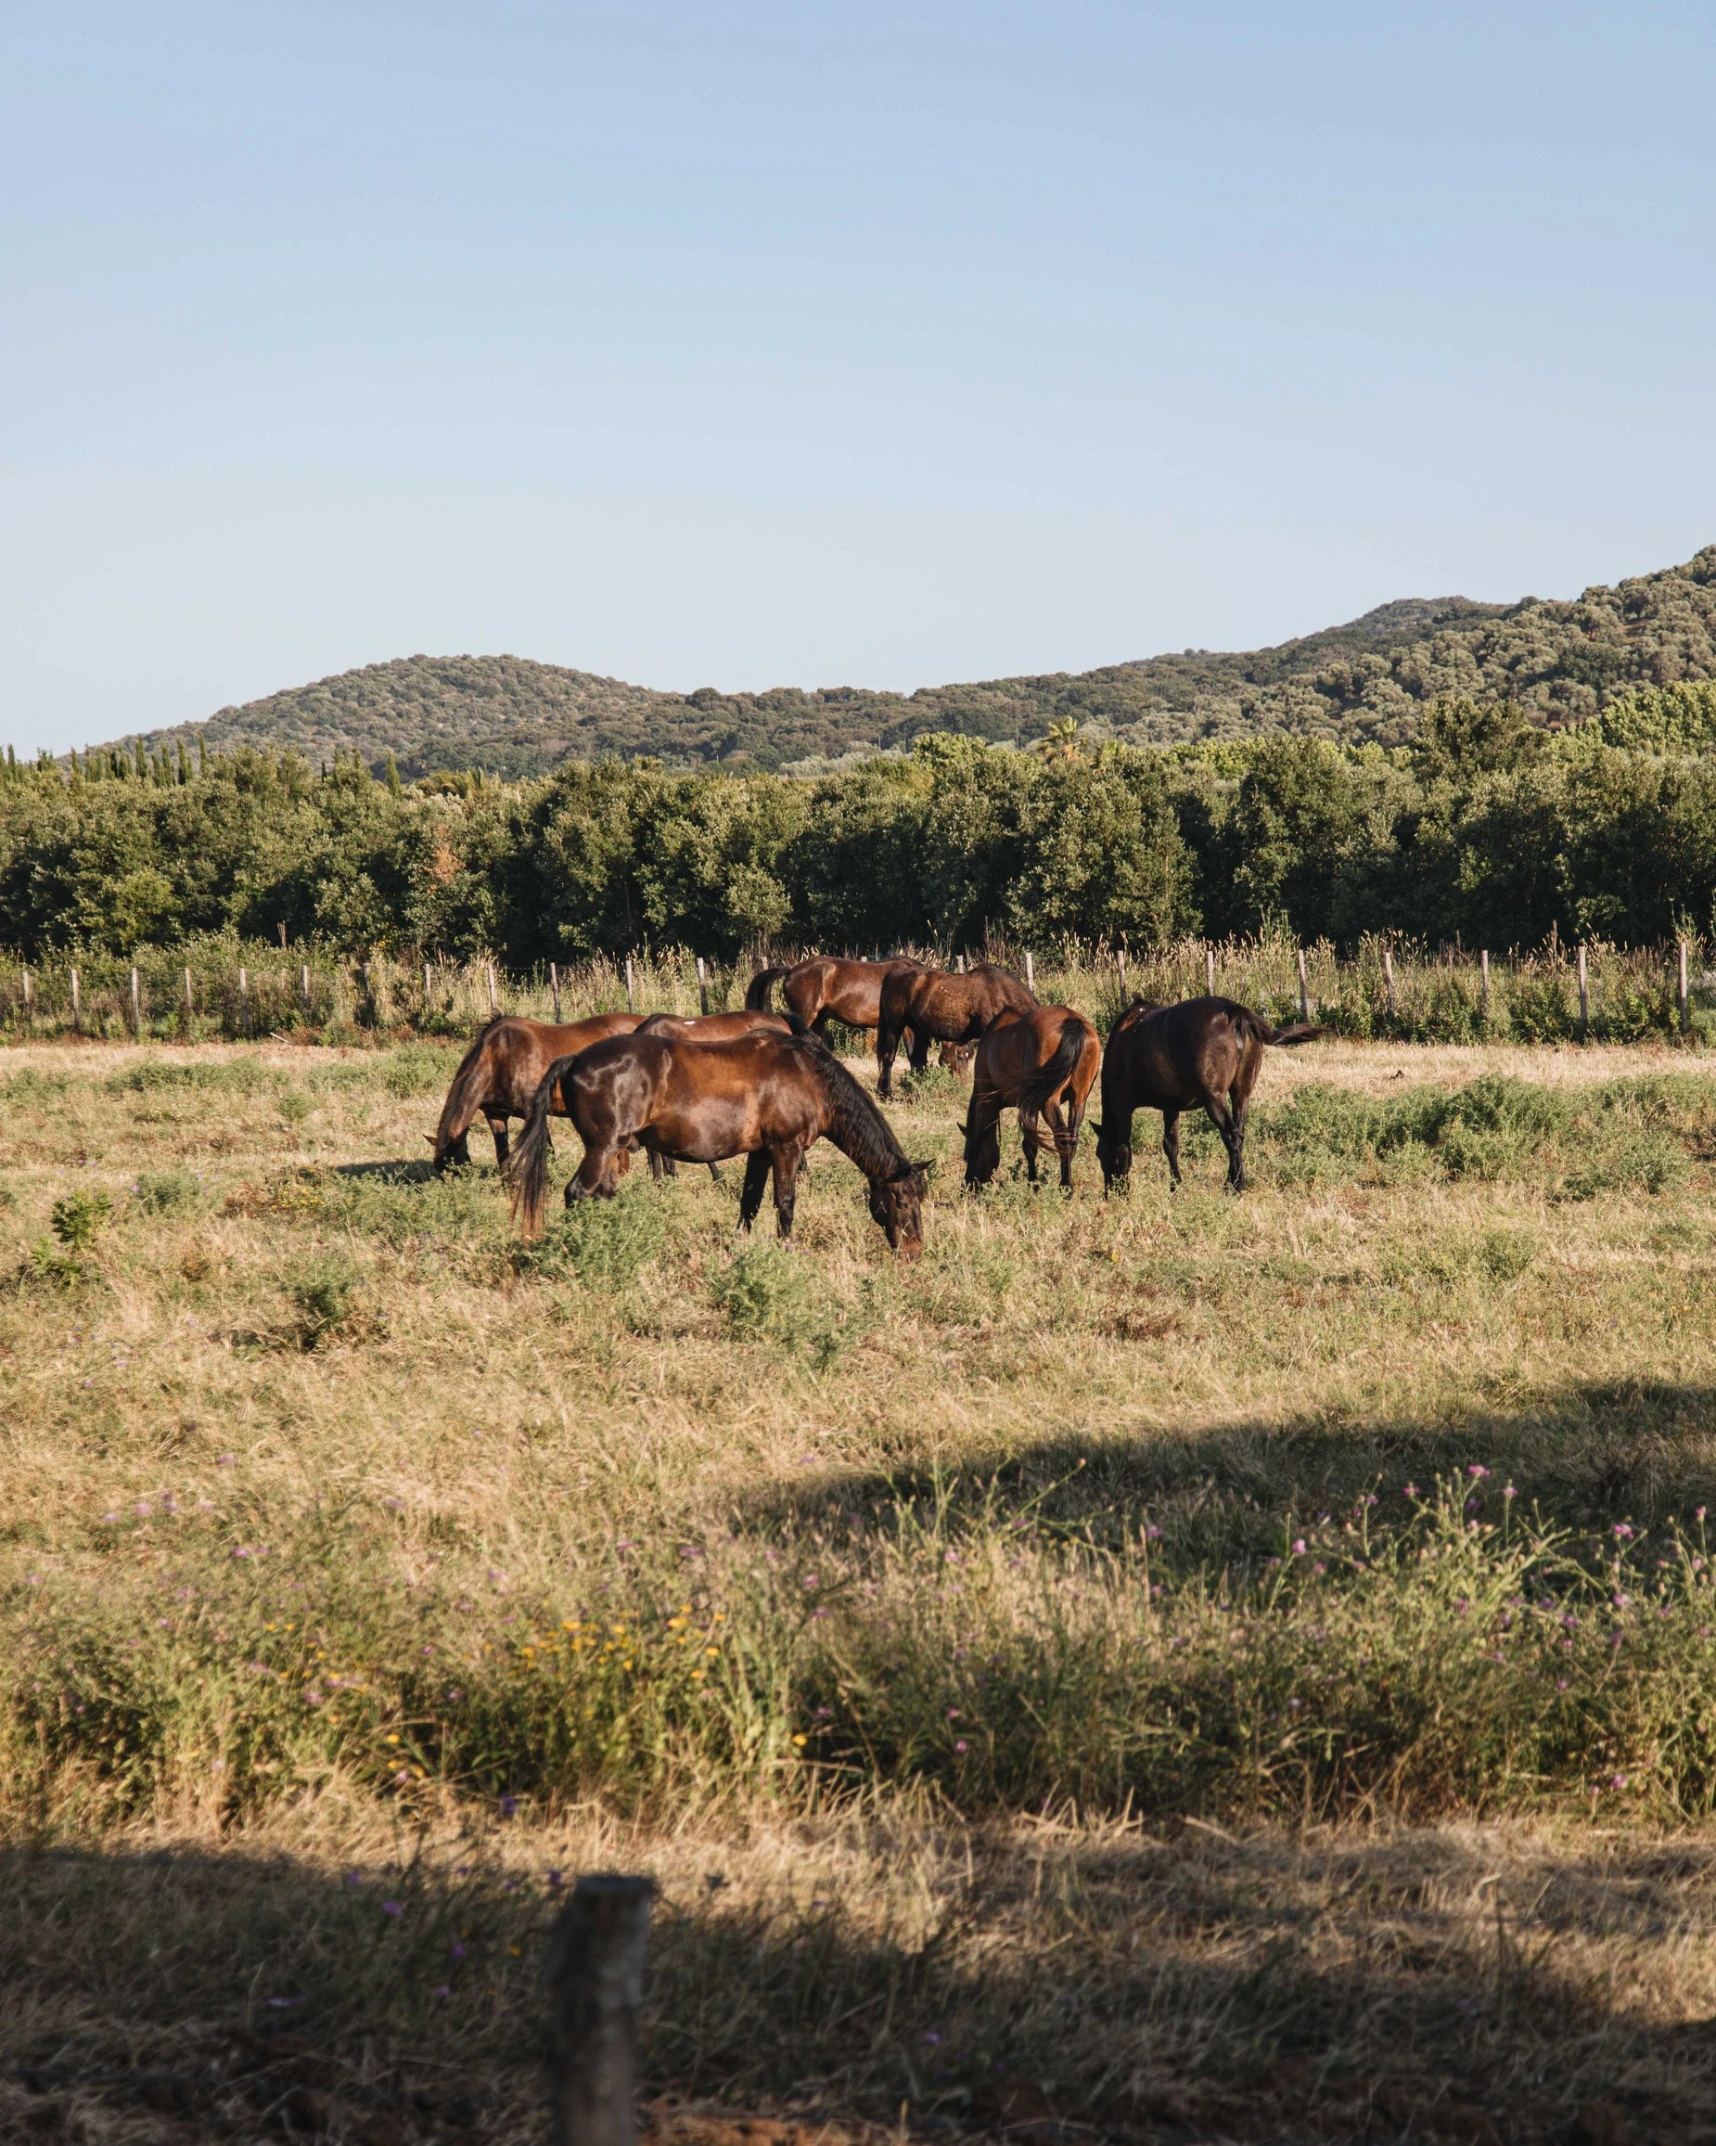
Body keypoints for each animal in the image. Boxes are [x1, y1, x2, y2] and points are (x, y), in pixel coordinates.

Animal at [429, 1008, 643, 1176]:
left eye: (457, 1166)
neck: (499, 1056)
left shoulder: (532, 1113)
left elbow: (547, 1150)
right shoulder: (496, 1116)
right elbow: (502, 1155)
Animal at [501, 1025, 930, 1253]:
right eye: (901, 1201)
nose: (913, 1251)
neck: (809, 1076)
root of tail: (575, 1060)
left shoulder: (761, 1153)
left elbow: (750, 1201)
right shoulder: (786, 1149)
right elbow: (785, 1204)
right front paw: (786, 1248)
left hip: (611, 1149)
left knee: (600, 1195)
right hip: (602, 1147)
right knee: (576, 1193)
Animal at [870, 965, 1033, 1098]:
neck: (1002, 996)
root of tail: (890, 975)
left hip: (918, 1030)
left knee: (917, 1060)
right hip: (895, 1026)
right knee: (889, 1057)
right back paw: (887, 1093)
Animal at [965, 1004, 1098, 1193]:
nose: (975, 1186)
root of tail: (1072, 1021)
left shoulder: (987, 1102)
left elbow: (983, 1138)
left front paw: (1033, 1185)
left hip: (1048, 1103)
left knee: (1063, 1140)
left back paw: (1065, 1188)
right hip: (1078, 1100)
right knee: (1071, 1140)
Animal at [1093, 995, 1321, 1201]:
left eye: (1101, 1154)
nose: (1108, 1194)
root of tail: (1234, 1011)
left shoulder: (1122, 1106)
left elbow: (1124, 1149)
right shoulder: (1170, 1106)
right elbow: (1170, 1145)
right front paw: (1175, 1188)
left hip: (1214, 1099)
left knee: (1231, 1136)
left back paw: (1237, 1186)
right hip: (1241, 1093)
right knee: (1240, 1135)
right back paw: (1231, 1181)